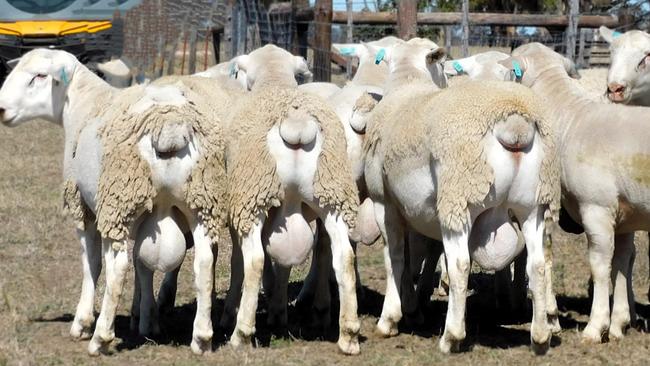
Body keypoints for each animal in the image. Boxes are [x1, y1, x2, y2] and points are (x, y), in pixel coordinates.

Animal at [364, 41, 556, 354]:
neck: (408, 83)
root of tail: (515, 124)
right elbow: (413, 256)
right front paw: (412, 309)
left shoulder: (385, 203)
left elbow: (395, 258)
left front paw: (389, 320)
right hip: (535, 203)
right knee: (537, 264)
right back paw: (539, 337)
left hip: (459, 198)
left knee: (460, 265)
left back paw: (451, 336)